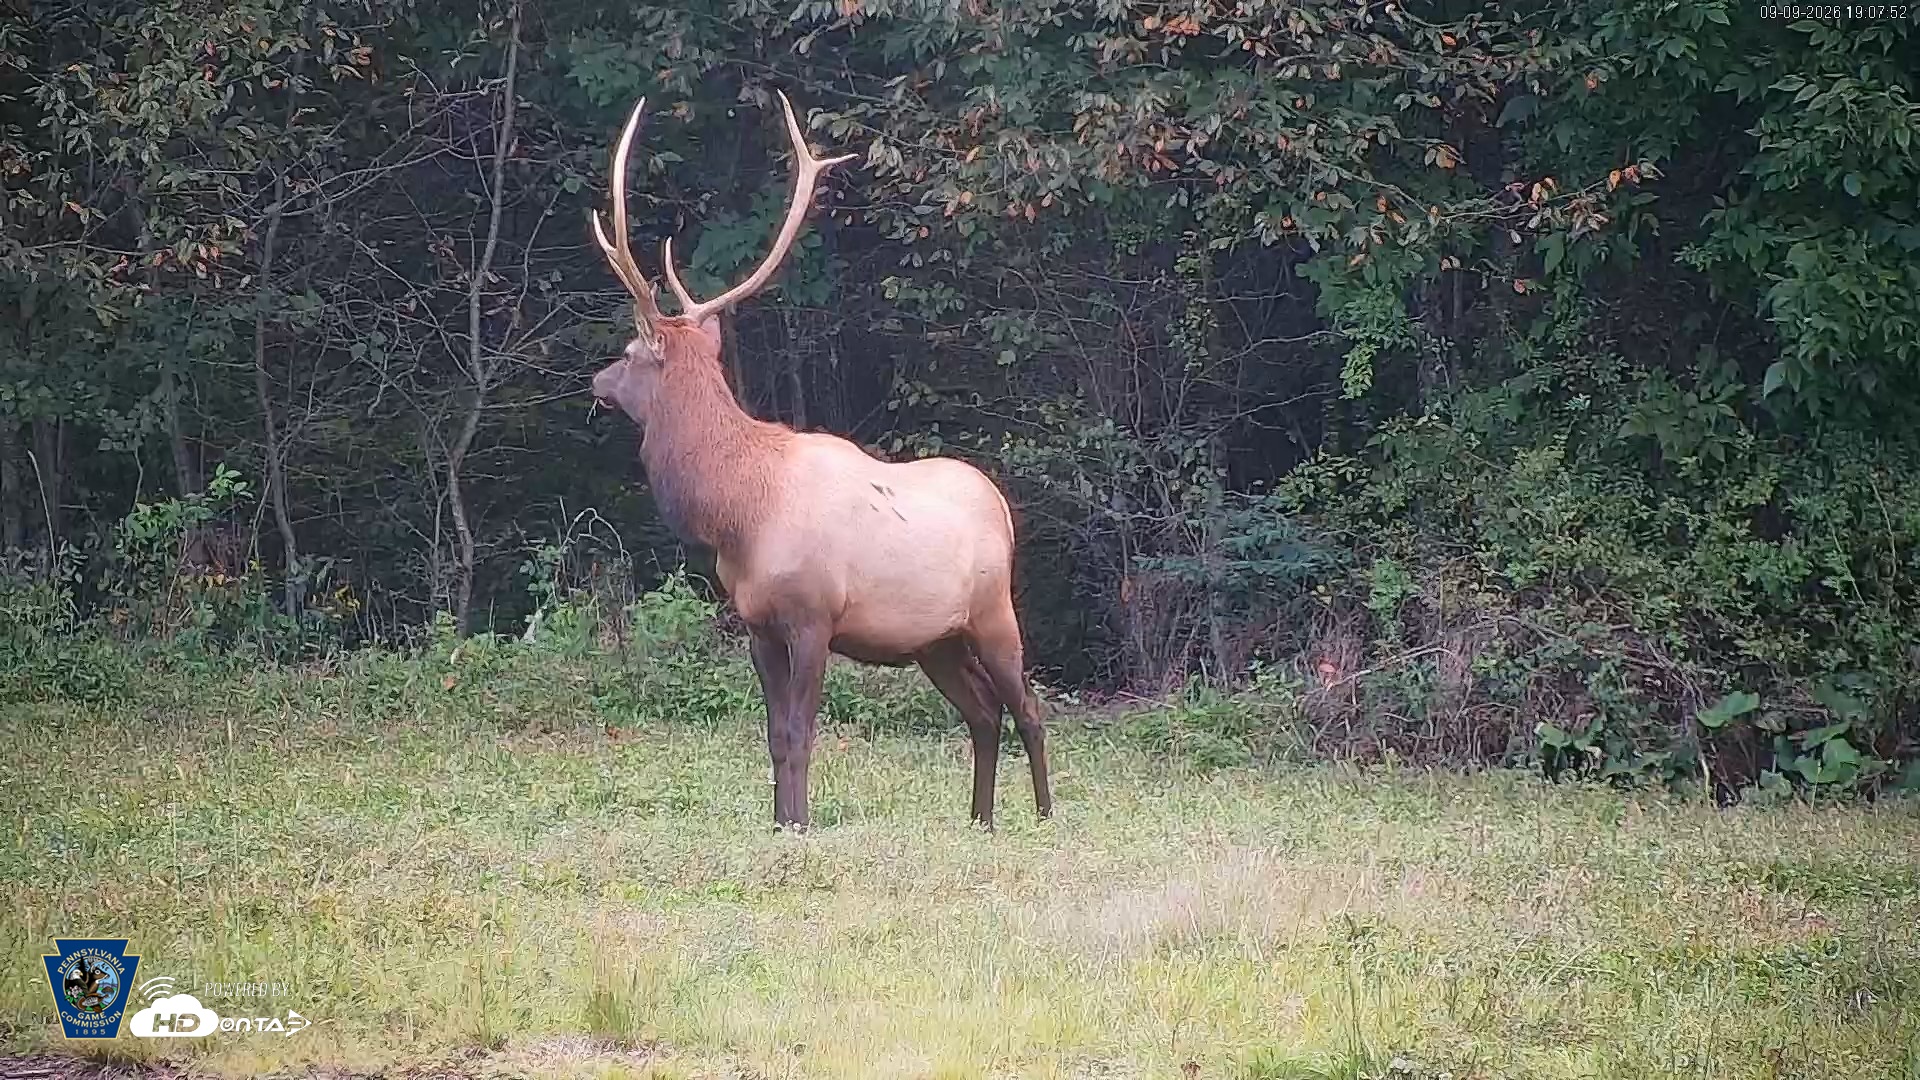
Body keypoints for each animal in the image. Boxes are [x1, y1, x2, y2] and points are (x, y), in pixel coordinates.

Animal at [586, 91, 1053, 832]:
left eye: (630, 355)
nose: (596, 382)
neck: (738, 513)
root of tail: (1003, 507)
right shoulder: (755, 622)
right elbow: (774, 735)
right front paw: (781, 821)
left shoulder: (814, 617)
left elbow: (801, 731)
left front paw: (801, 825)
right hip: (934, 639)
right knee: (982, 715)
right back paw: (979, 818)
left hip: (991, 611)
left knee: (1026, 707)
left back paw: (1041, 813)